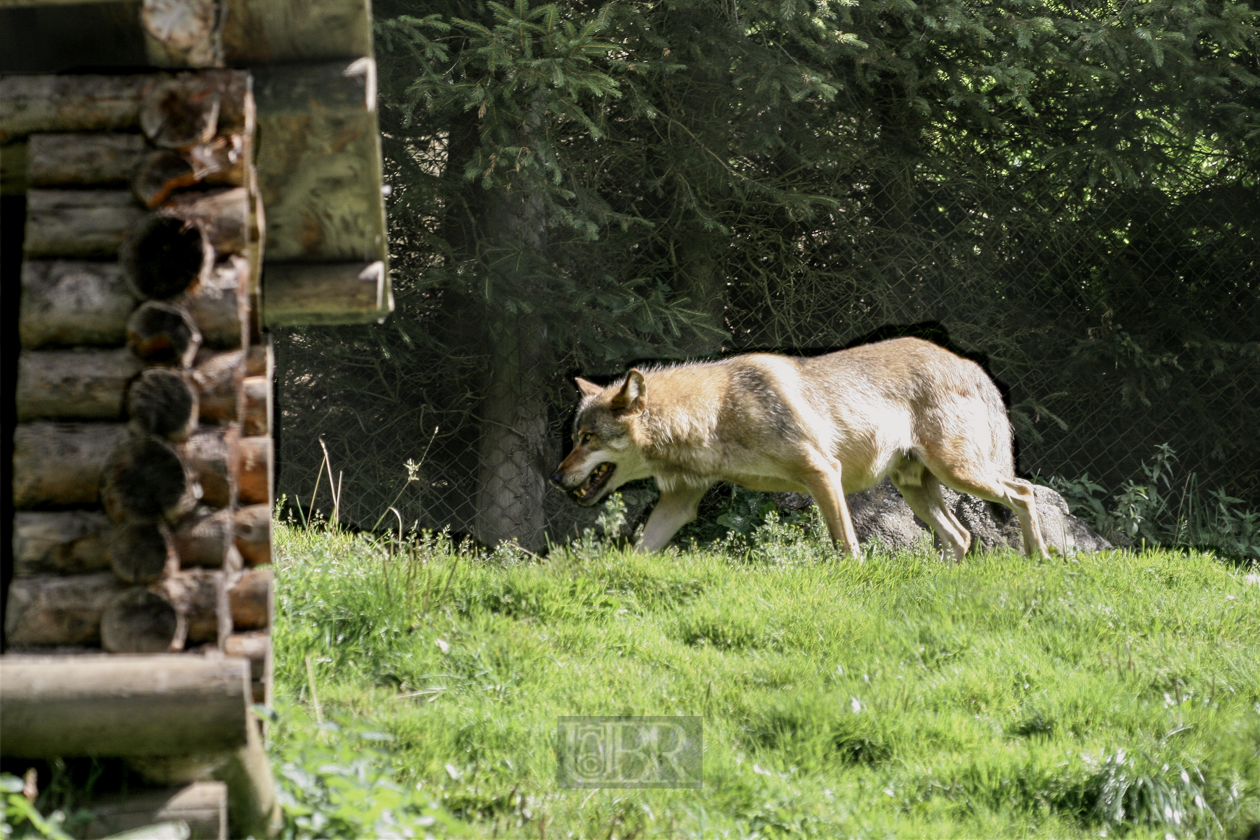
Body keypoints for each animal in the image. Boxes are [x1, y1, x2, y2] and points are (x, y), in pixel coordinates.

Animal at [551, 337, 1053, 561]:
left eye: (587, 440)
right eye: (575, 439)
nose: (555, 478)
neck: (716, 413)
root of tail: (968, 362)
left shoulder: (823, 472)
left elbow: (846, 546)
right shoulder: (680, 502)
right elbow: (640, 551)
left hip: (959, 474)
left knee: (1024, 491)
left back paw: (1040, 558)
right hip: (918, 489)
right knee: (962, 536)